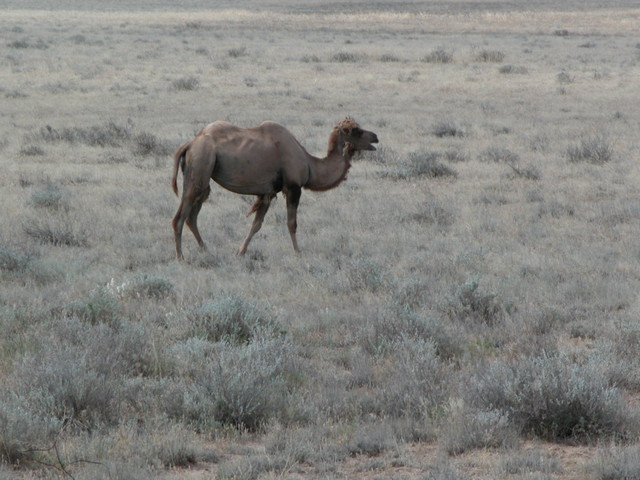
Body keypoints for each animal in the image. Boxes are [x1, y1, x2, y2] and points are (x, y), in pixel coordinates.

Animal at [171, 117, 378, 260]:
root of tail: (190, 144)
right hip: (200, 167)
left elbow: (256, 224)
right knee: (180, 217)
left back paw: (205, 249)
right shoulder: (293, 187)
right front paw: (298, 253)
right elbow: (292, 223)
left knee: (192, 216)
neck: (309, 163)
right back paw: (181, 257)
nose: (375, 137)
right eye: (356, 130)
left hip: (203, 178)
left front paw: (240, 252)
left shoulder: (268, 192)